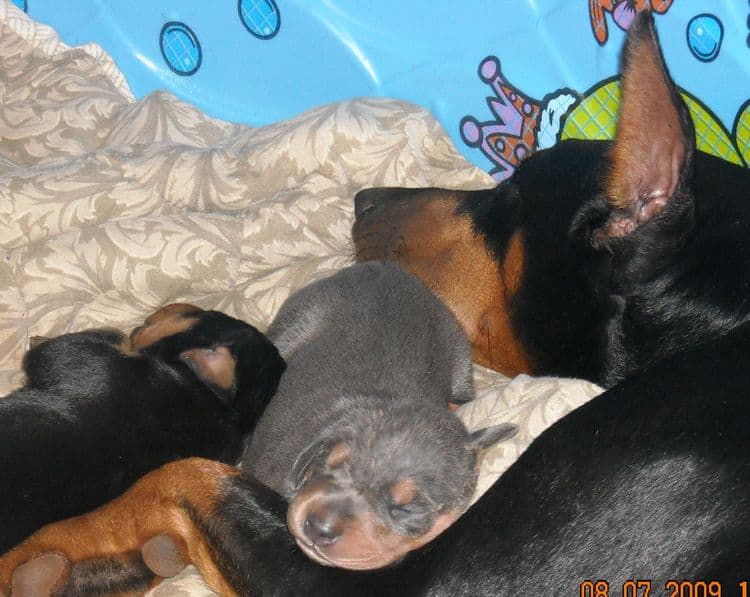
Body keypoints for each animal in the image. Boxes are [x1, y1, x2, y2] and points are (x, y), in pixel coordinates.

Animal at [0, 304, 284, 552]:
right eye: (210, 312)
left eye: (203, 314)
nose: (172, 305)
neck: (226, 409)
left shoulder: (76, 358)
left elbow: (99, 338)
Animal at [244, 264, 520, 572]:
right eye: (329, 462)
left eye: (405, 508)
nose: (318, 526)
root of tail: (384, 267)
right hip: (294, 325)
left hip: (460, 368)